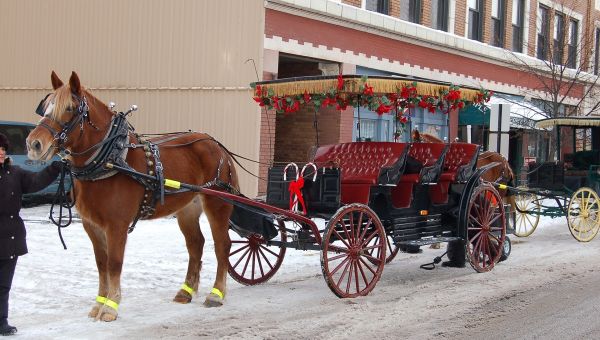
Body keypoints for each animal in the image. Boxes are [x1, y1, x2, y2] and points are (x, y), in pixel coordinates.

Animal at [25, 71, 238, 322]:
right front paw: (98, 304)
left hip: (217, 203)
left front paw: (110, 307)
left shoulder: (116, 225)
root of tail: (217, 145)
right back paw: (185, 292)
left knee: (222, 245)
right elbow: (101, 263)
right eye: (45, 106)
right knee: (196, 244)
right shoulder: (91, 225)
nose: (34, 144)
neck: (110, 159)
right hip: (187, 208)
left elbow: (114, 263)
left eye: (70, 108)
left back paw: (216, 293)